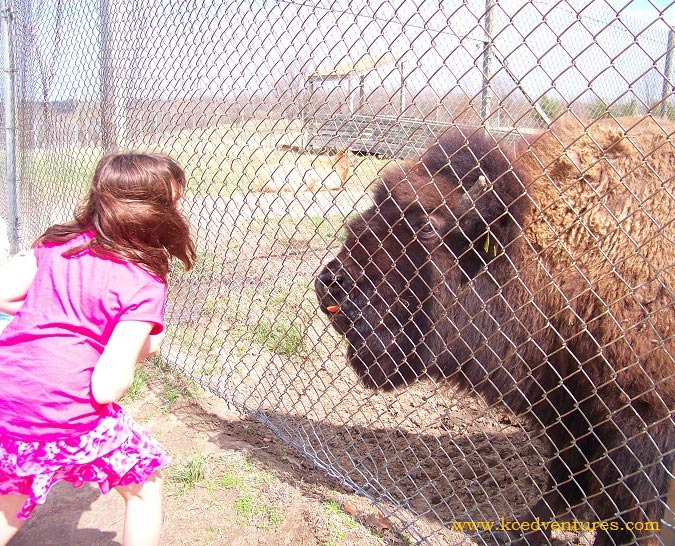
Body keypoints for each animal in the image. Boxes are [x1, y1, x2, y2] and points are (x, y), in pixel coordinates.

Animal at [316, 116, 675, 544]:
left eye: (426, 226)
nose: (329, 283)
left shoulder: (640, 421)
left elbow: (623, 510)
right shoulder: (569, 406)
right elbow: (565, 478)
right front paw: (517, 532)